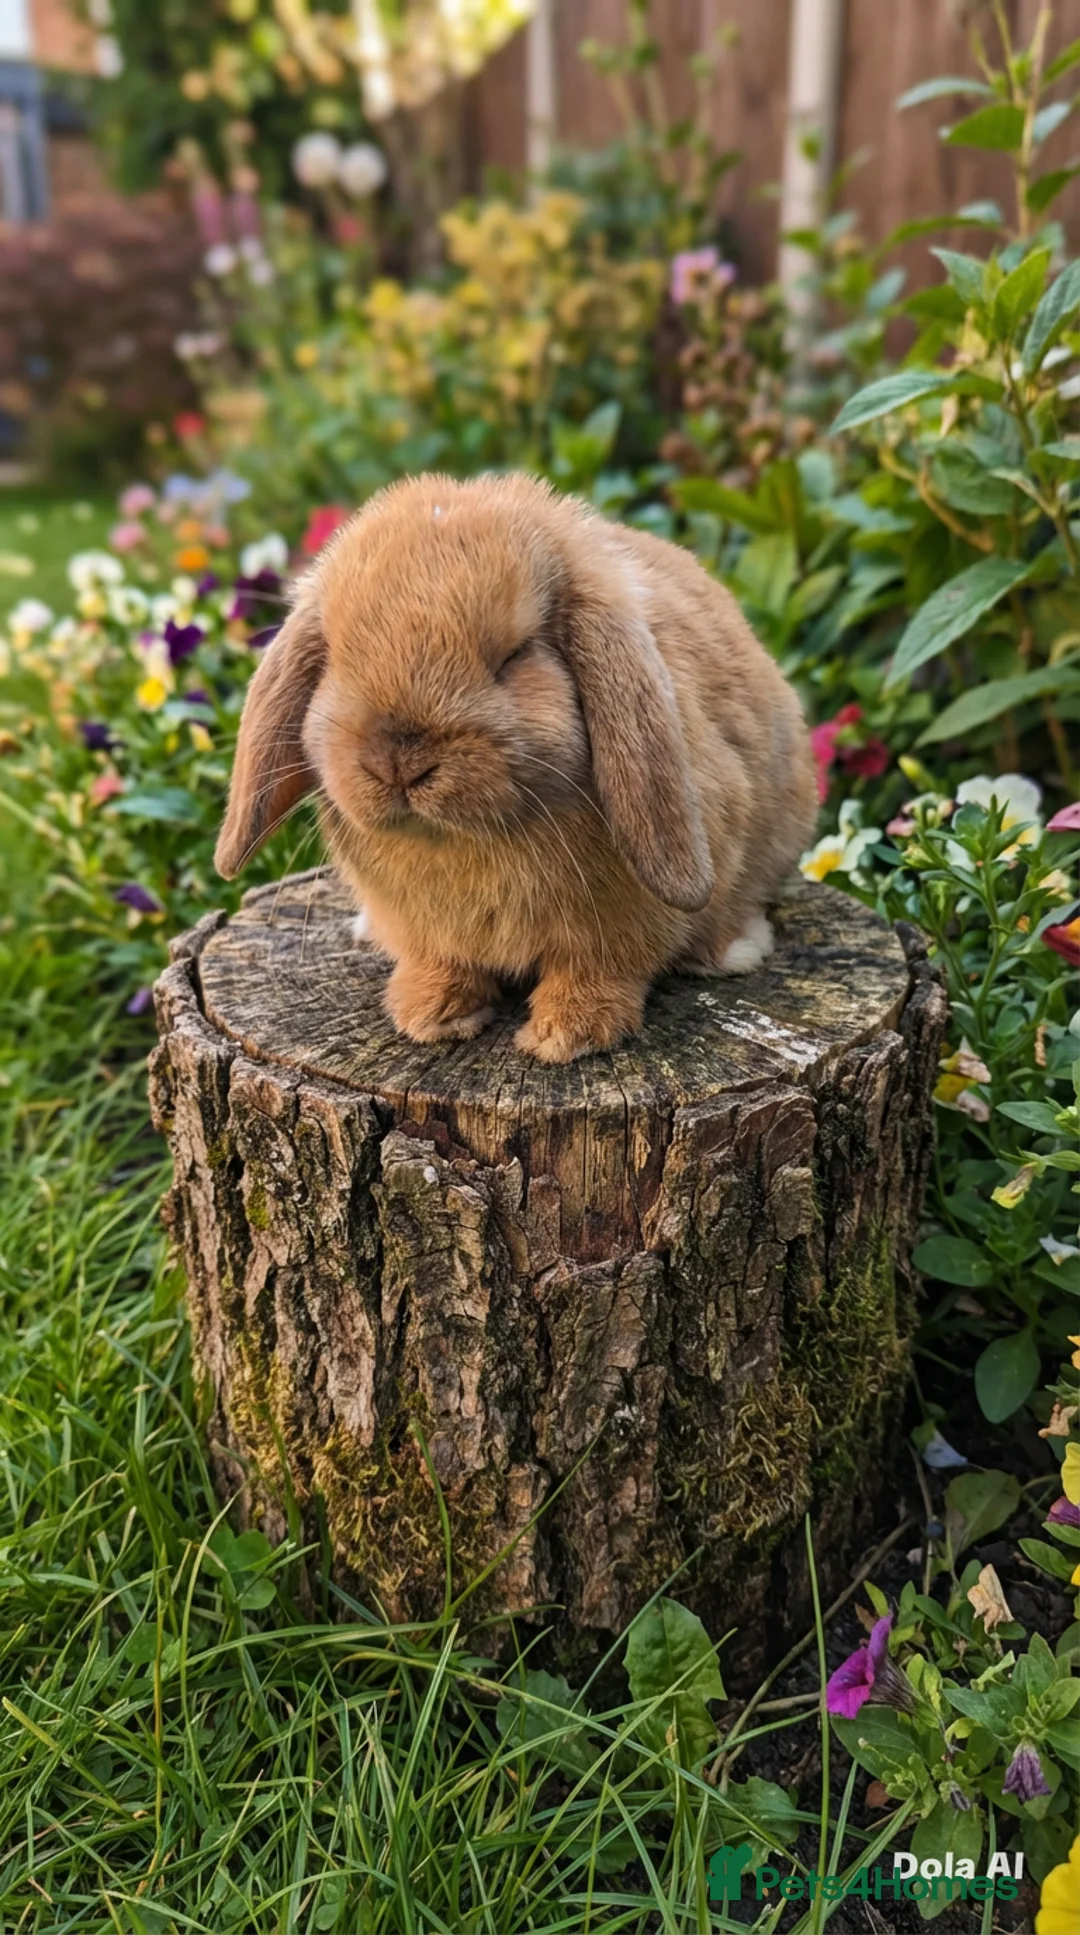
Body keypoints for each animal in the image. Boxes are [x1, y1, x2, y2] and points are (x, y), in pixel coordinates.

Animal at [215, 472, 818, 1063]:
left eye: (514, 656)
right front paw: (432, 1016)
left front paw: (566, 1035)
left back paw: (732, 951)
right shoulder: (428, 931)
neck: (463, 841)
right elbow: (441, 962)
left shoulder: (620, 929)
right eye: (338, 659)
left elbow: (602, 969)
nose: (399, 761)